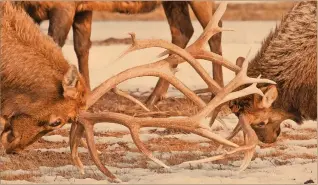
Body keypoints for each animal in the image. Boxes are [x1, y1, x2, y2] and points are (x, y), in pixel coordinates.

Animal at [14, 0, 224, 108]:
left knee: (213, 29)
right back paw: (153, 98)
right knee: (183, 30)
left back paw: (218, 93)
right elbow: (81, 47)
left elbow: (54, 45)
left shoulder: (64, 6)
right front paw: (87, 94)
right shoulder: (82, 7)